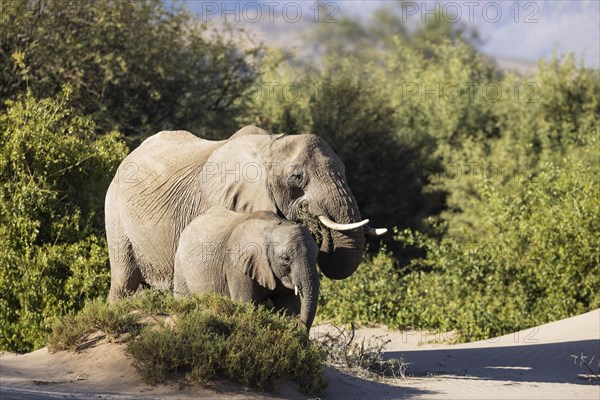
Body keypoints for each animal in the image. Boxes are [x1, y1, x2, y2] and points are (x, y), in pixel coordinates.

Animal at [173, 206, 322, 328]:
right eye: (286, 259)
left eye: (316, 257)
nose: (300, 325)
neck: (273, 226)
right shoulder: (236, 266)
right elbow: (245, 304)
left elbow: (288, 307)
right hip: (180, 266)